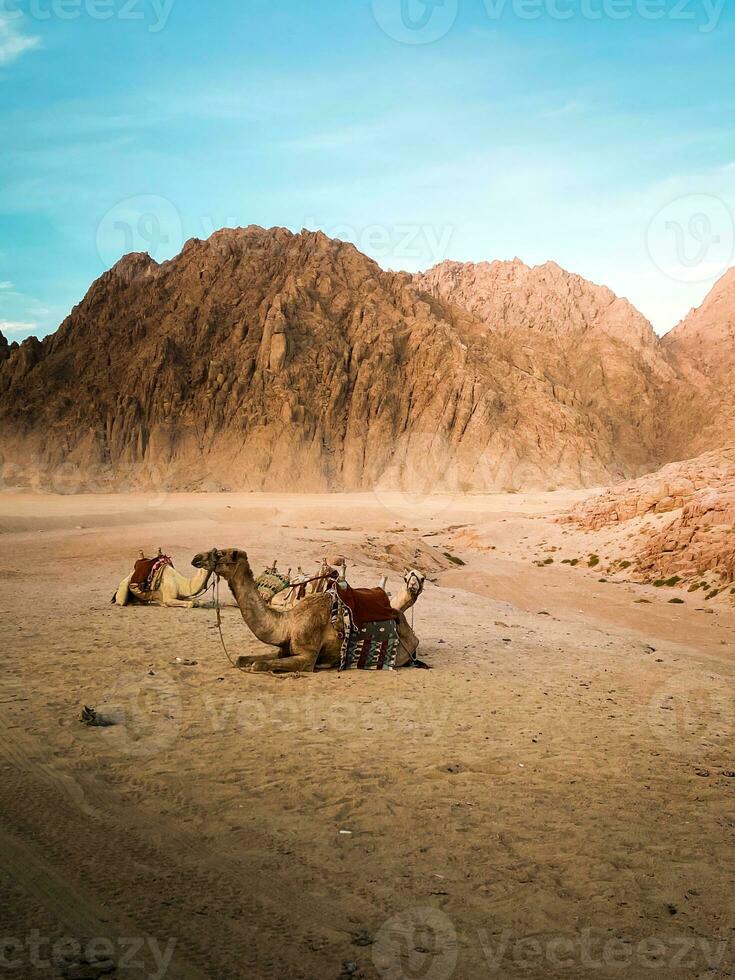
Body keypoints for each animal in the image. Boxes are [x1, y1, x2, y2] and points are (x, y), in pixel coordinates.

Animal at [190, 548, 426, 668]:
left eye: (220, 554)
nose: (196, 558)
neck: (288, 623)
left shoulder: (307, 655)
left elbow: (259, 665)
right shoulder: (283, 649)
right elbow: (243, 659)